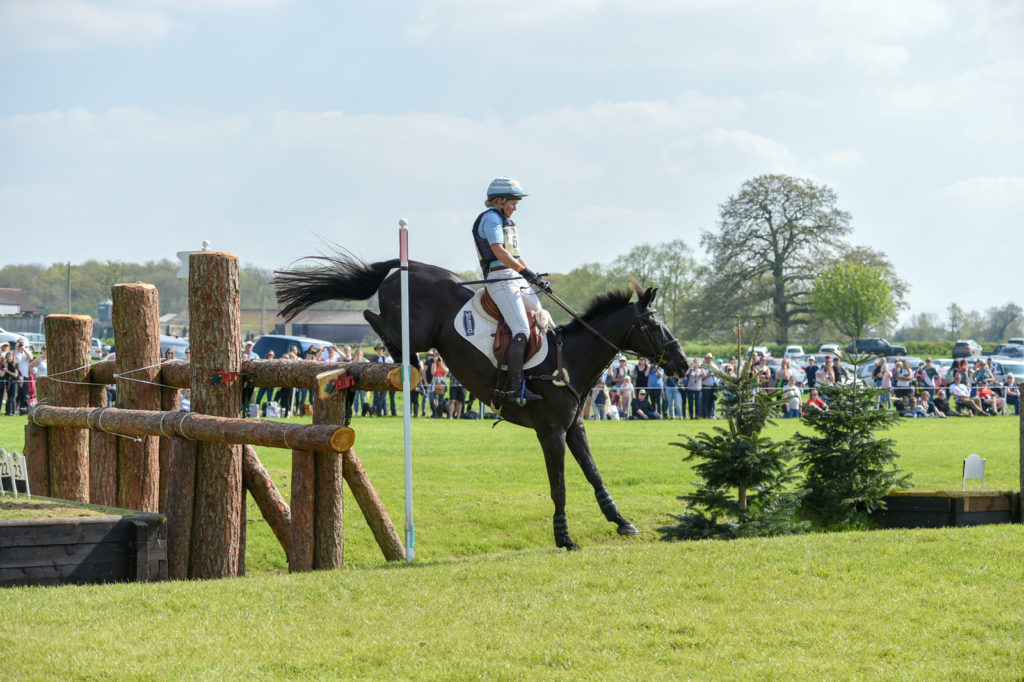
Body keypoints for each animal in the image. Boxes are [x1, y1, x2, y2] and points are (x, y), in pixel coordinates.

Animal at [274, 249, 688, 548]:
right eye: (654, 325)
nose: (683, 364)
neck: (569, 360)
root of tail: (408, 265)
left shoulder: (574, 428)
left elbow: (593, 473)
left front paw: (621, 521)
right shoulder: (551, 431)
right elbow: (559, 484)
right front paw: (564, 536)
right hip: (418, 333)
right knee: (372, 318)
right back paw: (406, 362)